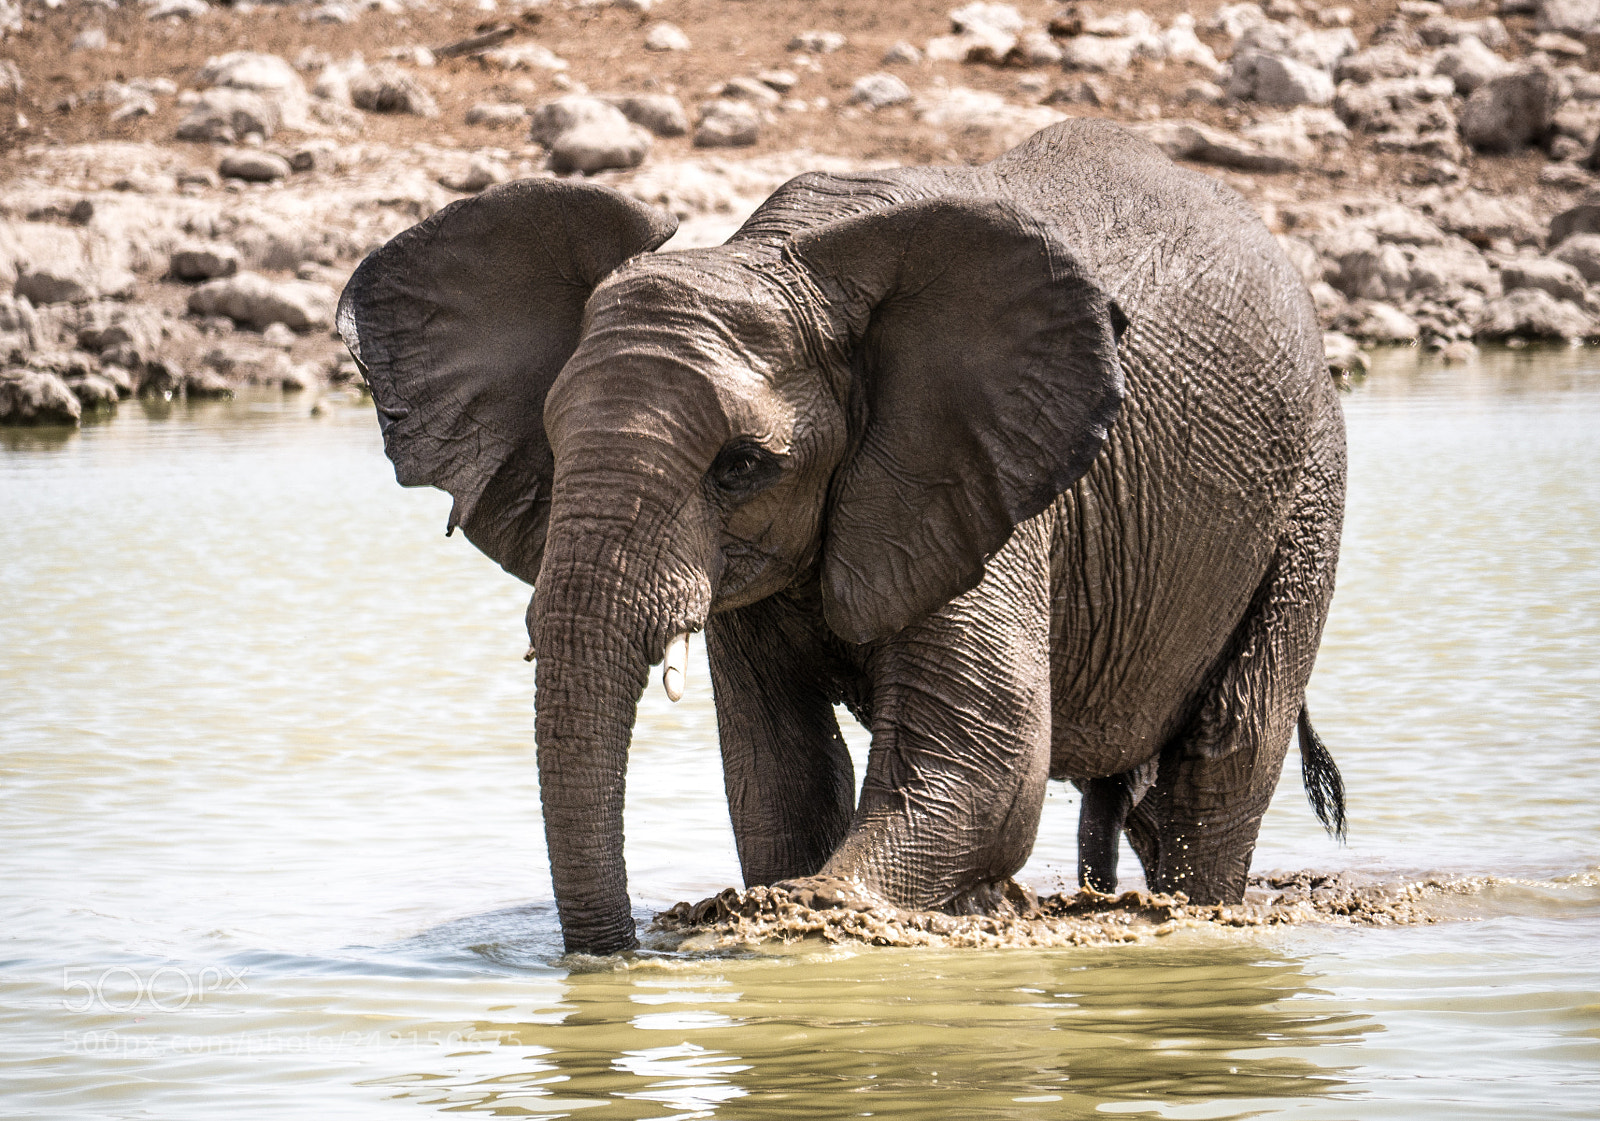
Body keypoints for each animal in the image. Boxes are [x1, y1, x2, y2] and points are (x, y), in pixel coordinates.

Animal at [337, 119, 1347, 955]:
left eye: (741, 464)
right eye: (552, 442)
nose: (617, 953)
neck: (772, 254)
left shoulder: (983, 482)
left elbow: (983, 764)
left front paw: (799, 921)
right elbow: (779, 773)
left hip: (1308, 492)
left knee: (1220, 755)